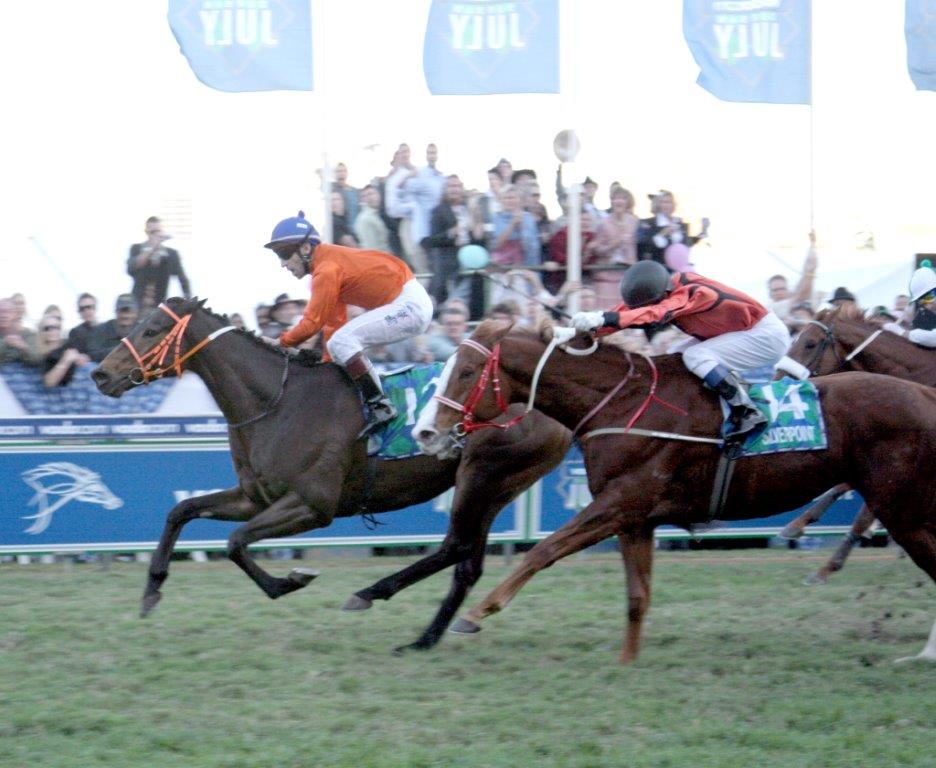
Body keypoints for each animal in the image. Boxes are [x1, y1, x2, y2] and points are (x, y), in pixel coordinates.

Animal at [89, 296, 572, 652]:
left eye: (151, 330)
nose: (99, 374)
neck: (277, 401)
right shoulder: (255, 496)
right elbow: (182, 510)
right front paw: (151, 591)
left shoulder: (312, 505)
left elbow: (235, 542)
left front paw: (290, 581)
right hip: (495, 487)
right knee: (467, 562)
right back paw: (427, 635)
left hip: (483, 474)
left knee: (456, 547)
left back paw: (376, 597)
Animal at [784, 304, 936, 584]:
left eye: (810, 343)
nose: (779, 376)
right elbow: (845, 486)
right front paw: (797, 525)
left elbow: (865, 510)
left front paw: (828, 566)